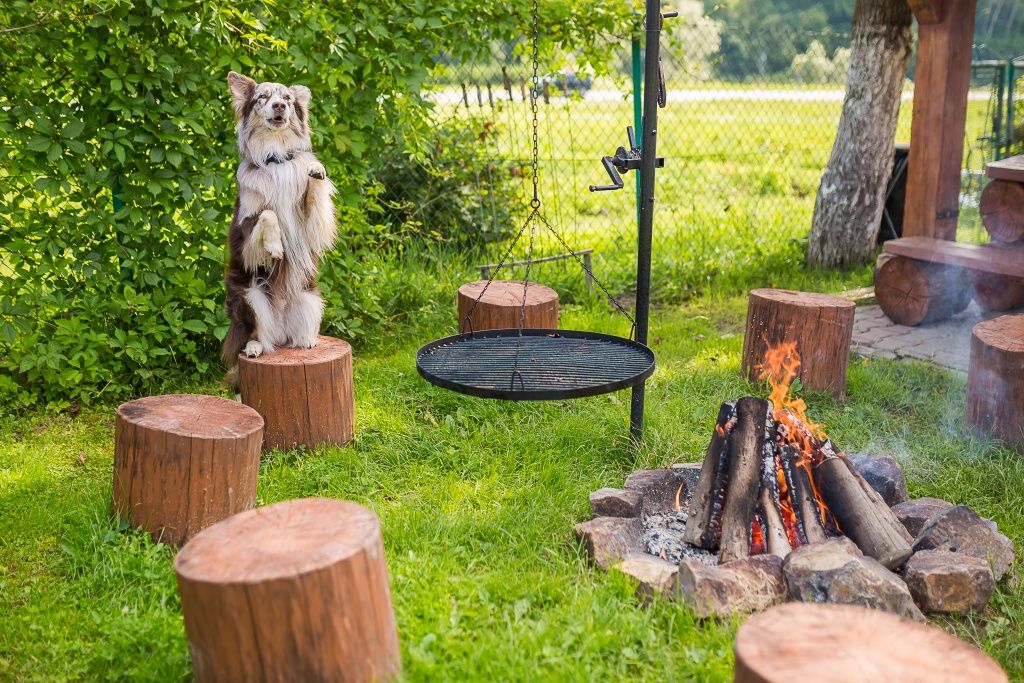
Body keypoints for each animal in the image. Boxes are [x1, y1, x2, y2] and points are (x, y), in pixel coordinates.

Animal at [222, 72, 337, 382]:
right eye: (262, 97)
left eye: (286, 98)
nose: (279, 106)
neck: (275, 159)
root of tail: (281, 331)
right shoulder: (243, 229)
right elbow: (268, 213)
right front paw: (275, 247)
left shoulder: (310, 225)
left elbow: (315, 193)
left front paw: (316, 172)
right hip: (249, 297)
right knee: (257, 335)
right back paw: (254, 347)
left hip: (310, 298)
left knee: (294, 336)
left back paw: (306, 341)